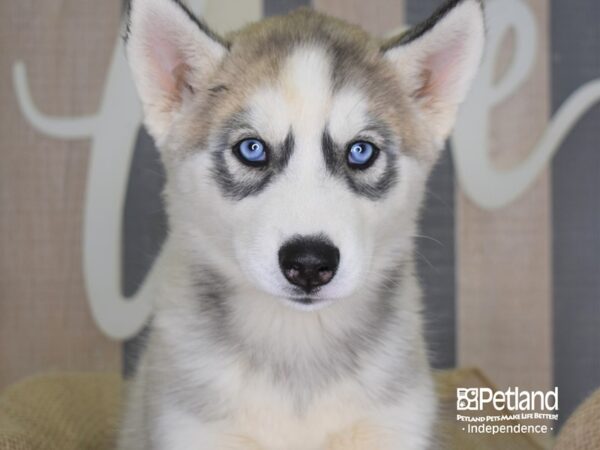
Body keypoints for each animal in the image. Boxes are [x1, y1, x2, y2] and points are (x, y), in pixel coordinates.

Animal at [119, 0, 486, 448]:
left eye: (361, 151)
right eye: (252, 148)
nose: (310, 263)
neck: (298, 342)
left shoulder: (393, 425)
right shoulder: (193, 428)